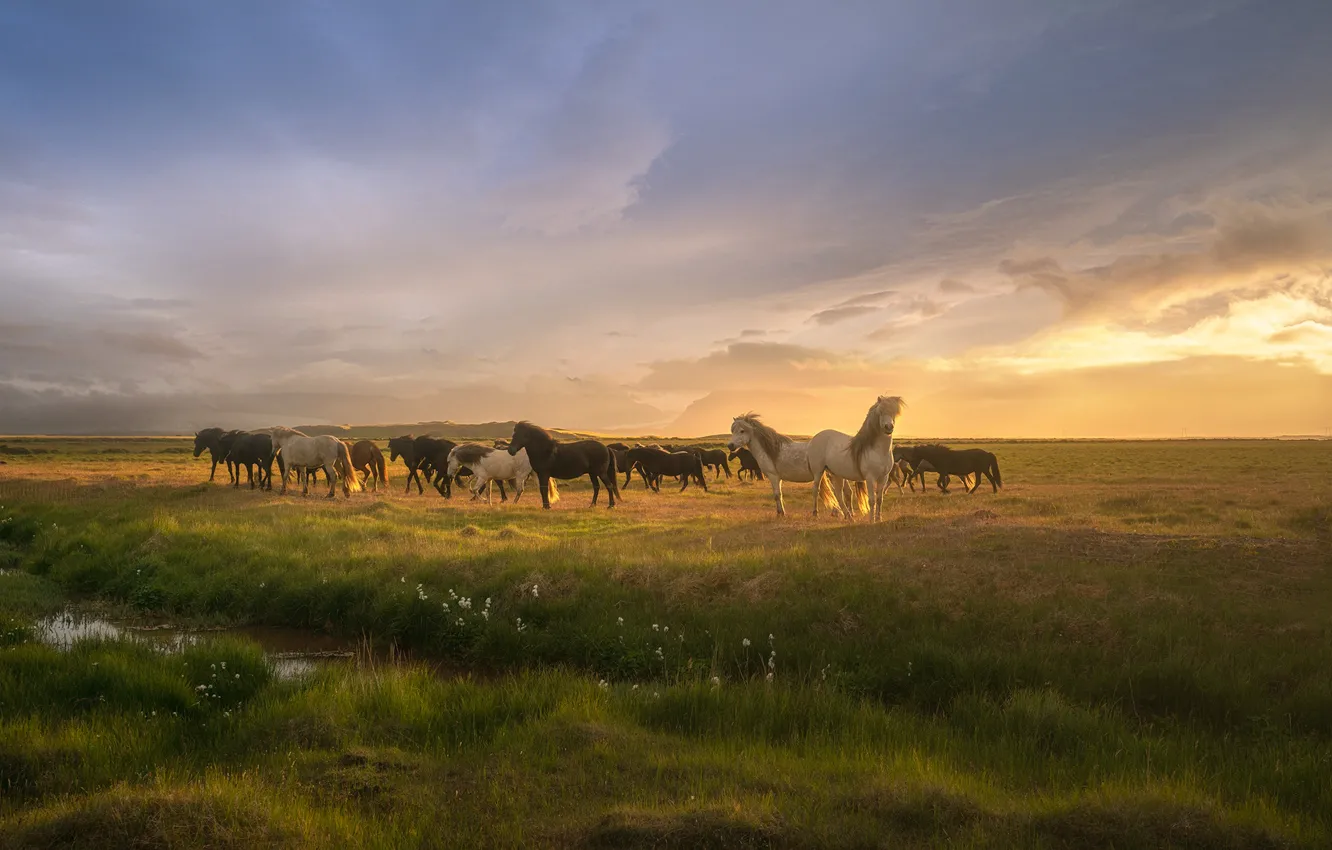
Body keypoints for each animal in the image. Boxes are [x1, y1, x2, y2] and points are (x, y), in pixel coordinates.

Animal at [724, 415, 857, 519]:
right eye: (732, 431)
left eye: (742, 431)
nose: (730, 445)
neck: (771, 451)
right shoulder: (778, 478)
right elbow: (779, 495)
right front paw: (781, 512)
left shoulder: (773, 477)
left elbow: (777, 495)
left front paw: (780, 513)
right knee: (847, 492)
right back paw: (848, 513)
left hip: (819, 473)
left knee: (817, 491)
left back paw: (816, 513)